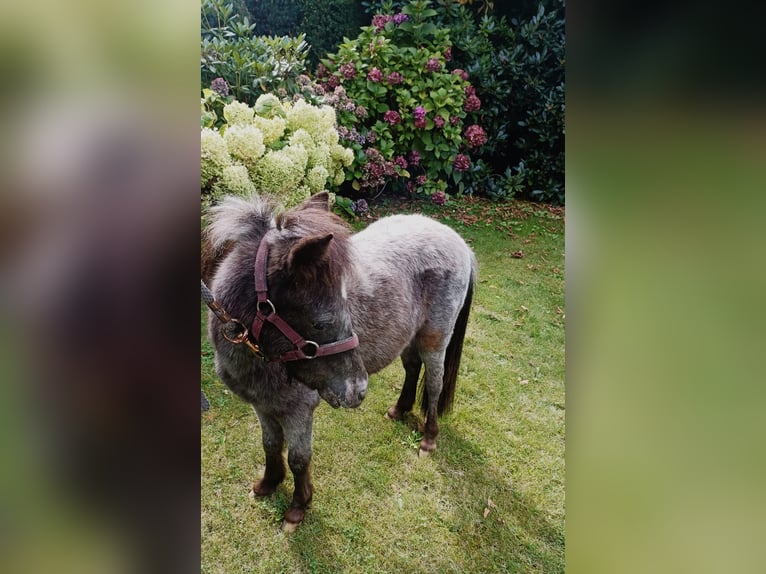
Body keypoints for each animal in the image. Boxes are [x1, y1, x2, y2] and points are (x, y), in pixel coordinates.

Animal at [204, 192, 480, 532]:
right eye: (321, 322)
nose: (357, 390)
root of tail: (459, 242)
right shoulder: (263, 405)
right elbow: (270, 445)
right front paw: (268, 484)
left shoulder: (298, 412)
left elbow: (298, 458)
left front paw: (298, 507)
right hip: (407, 336)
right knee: (412, 367)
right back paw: (399, 410)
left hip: (435, 340)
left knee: (434, 383)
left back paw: (428, 439)